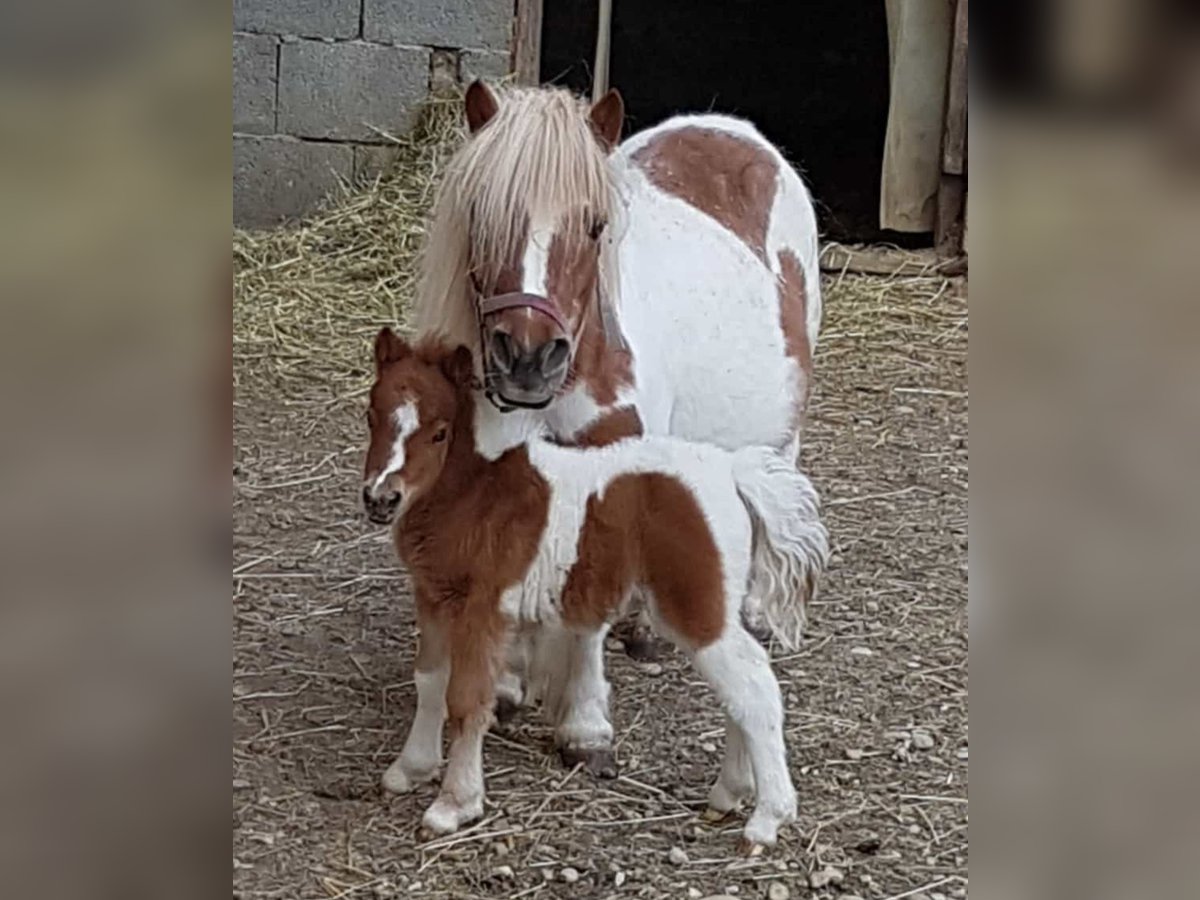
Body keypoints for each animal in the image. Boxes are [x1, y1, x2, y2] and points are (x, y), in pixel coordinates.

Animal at [360, 331, 830, 854]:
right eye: (371, 415)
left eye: (440, 432)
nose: (380, 499)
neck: (481, 493)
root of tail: (731, 471)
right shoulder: (432, 597)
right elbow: (429, 682)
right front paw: (411, 768)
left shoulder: (484, 609)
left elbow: (466, 700)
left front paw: (453, 805)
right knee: (741, 688)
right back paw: (729, 793)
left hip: (697, 609)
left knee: (753, 689)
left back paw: (768, 818)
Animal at [396, 84, 825, 787]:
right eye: (482, 216)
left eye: (596, 225)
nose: (527, 358)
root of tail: (729, 127)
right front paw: (511, 683)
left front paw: (585, 725)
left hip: (779, 426)